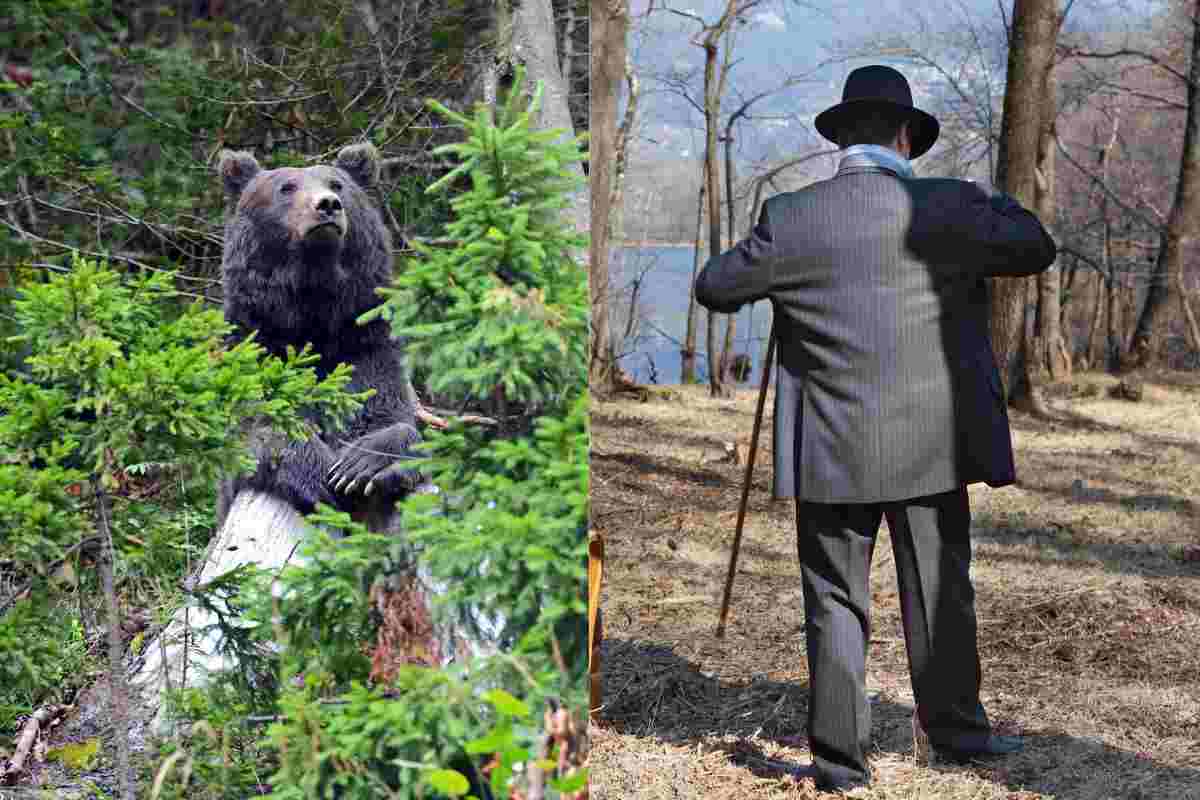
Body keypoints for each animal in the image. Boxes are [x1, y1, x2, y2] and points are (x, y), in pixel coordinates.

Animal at [215, 143, 426, 528]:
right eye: (286, 187)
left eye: (337, 184)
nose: (327, 204)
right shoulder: (259, 348)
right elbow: (258, 425)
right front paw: (318, 474)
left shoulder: (362, 345)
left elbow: (385, 413)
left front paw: (361, 465)